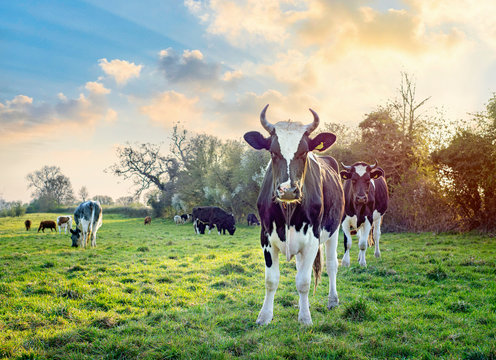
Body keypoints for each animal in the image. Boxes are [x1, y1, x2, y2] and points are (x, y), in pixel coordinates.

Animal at [244, 104, 344, 326]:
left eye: (304, 151)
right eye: (273, 152)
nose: (288, 190)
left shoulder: (313, 238)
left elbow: (304, 282)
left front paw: (305, 318)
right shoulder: (265, 237)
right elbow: (271, 280)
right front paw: (264, 316)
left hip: (334, 231)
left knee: (332, 265)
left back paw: (333, 300)